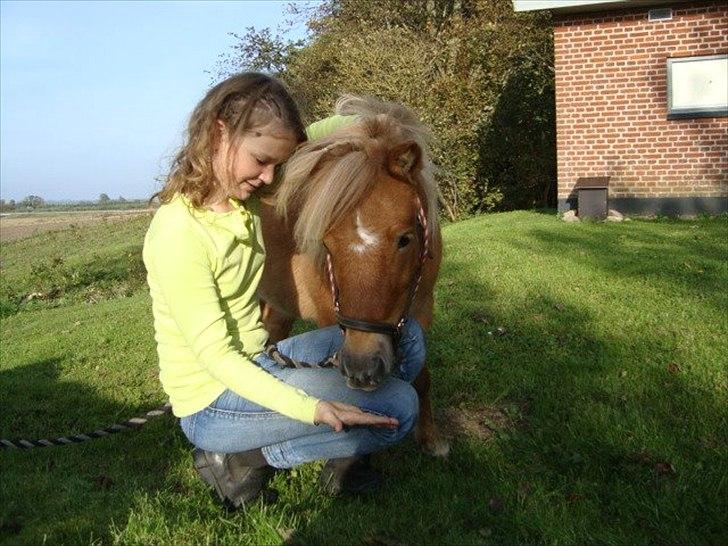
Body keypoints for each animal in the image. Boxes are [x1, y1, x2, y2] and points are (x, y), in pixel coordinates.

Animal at [256, 94, 450, 454]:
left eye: (405, 239)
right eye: (326, 244)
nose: (362, 368)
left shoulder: (422, 311)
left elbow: (423, 377)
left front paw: (432, 438)